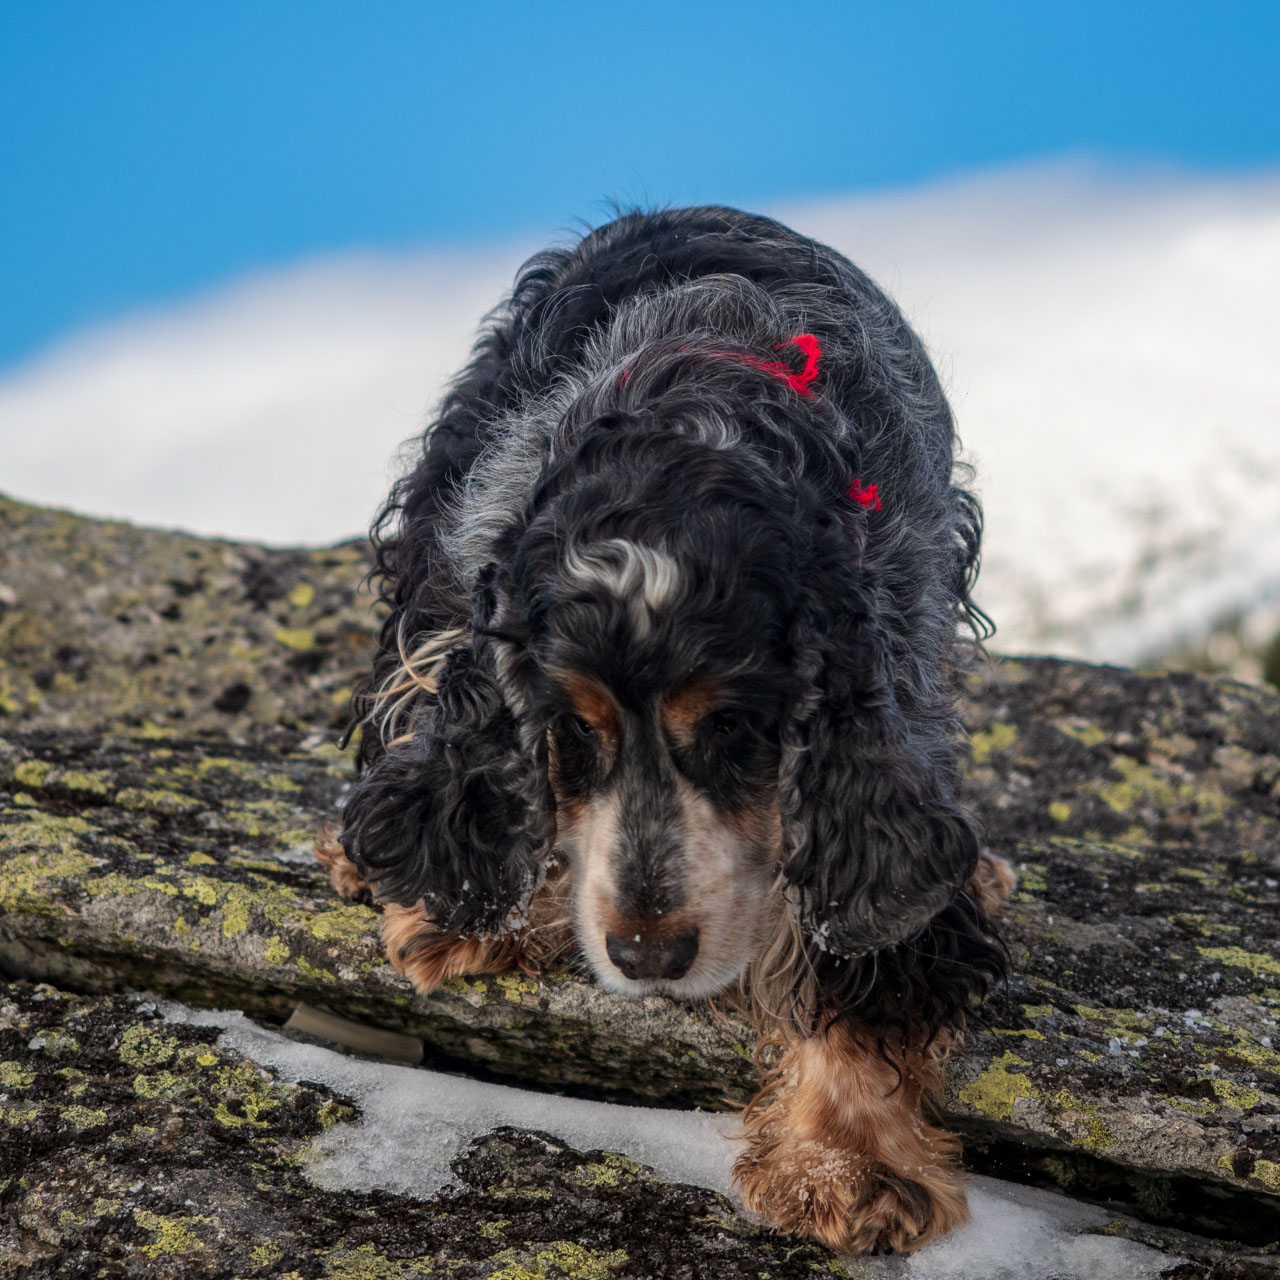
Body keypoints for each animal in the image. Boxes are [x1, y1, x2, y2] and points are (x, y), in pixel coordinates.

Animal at [322, 204, 1018, 1254]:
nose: (648, 958)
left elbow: (858, 945)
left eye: (736, 730)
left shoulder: (890, 669)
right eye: (569, 731)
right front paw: (463, 909)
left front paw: (850, 1163)